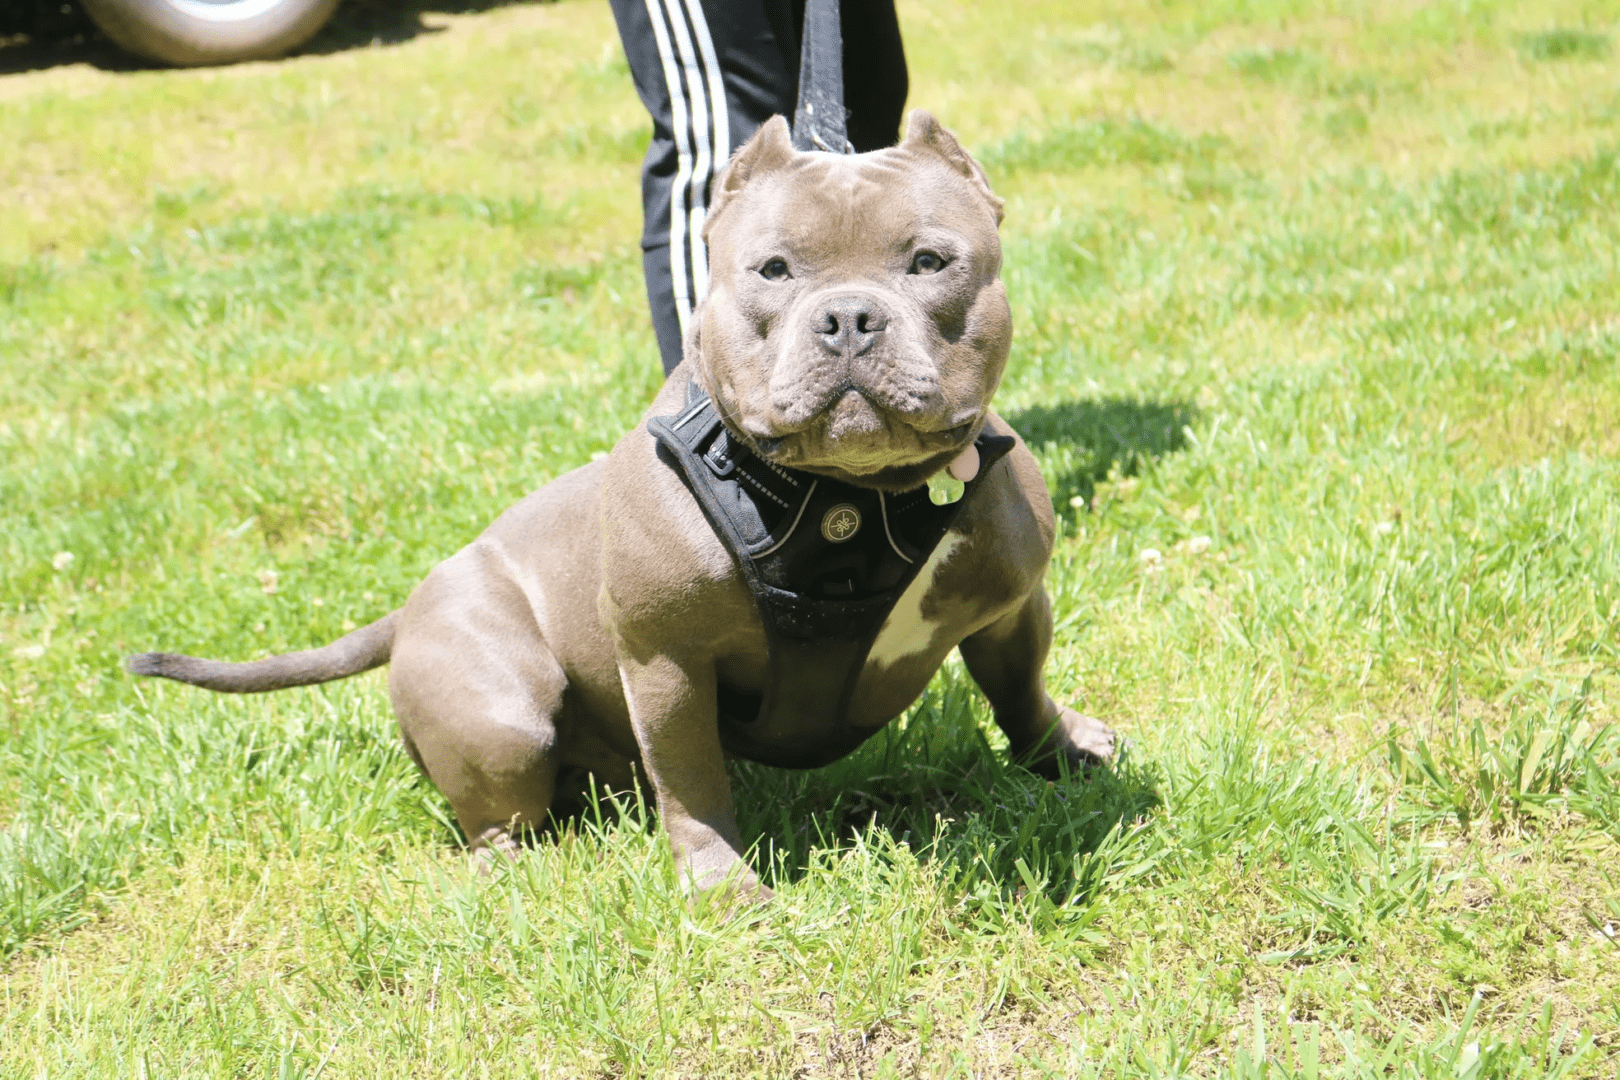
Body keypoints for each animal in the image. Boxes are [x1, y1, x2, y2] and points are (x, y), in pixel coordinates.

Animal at [129, 114, 1114, 900]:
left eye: (929, 262)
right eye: (773, 270)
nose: (847, 318)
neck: (848, 501)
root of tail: (407, 609)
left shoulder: (1011, 605)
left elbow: (1020, 686)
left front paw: (1061, 751)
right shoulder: (665, 657)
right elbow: (694, 780)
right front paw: (722, 886)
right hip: (504, 711)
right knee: (500, 816)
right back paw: (513, 869)